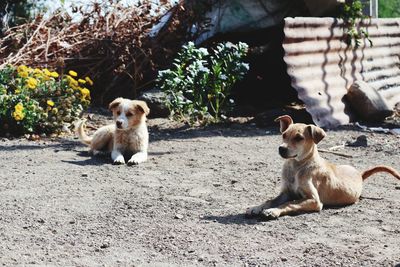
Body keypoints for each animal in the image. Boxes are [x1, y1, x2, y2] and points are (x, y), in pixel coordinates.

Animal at [247, 116, 400, 221]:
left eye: (299, 138)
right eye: (284, 135)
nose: (281, 149)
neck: (296, 167)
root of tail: (359, 174)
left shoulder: (314, 201)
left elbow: (289, 203)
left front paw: (273, 211)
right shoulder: (285, 193)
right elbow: (270, 200)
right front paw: (256, 207)